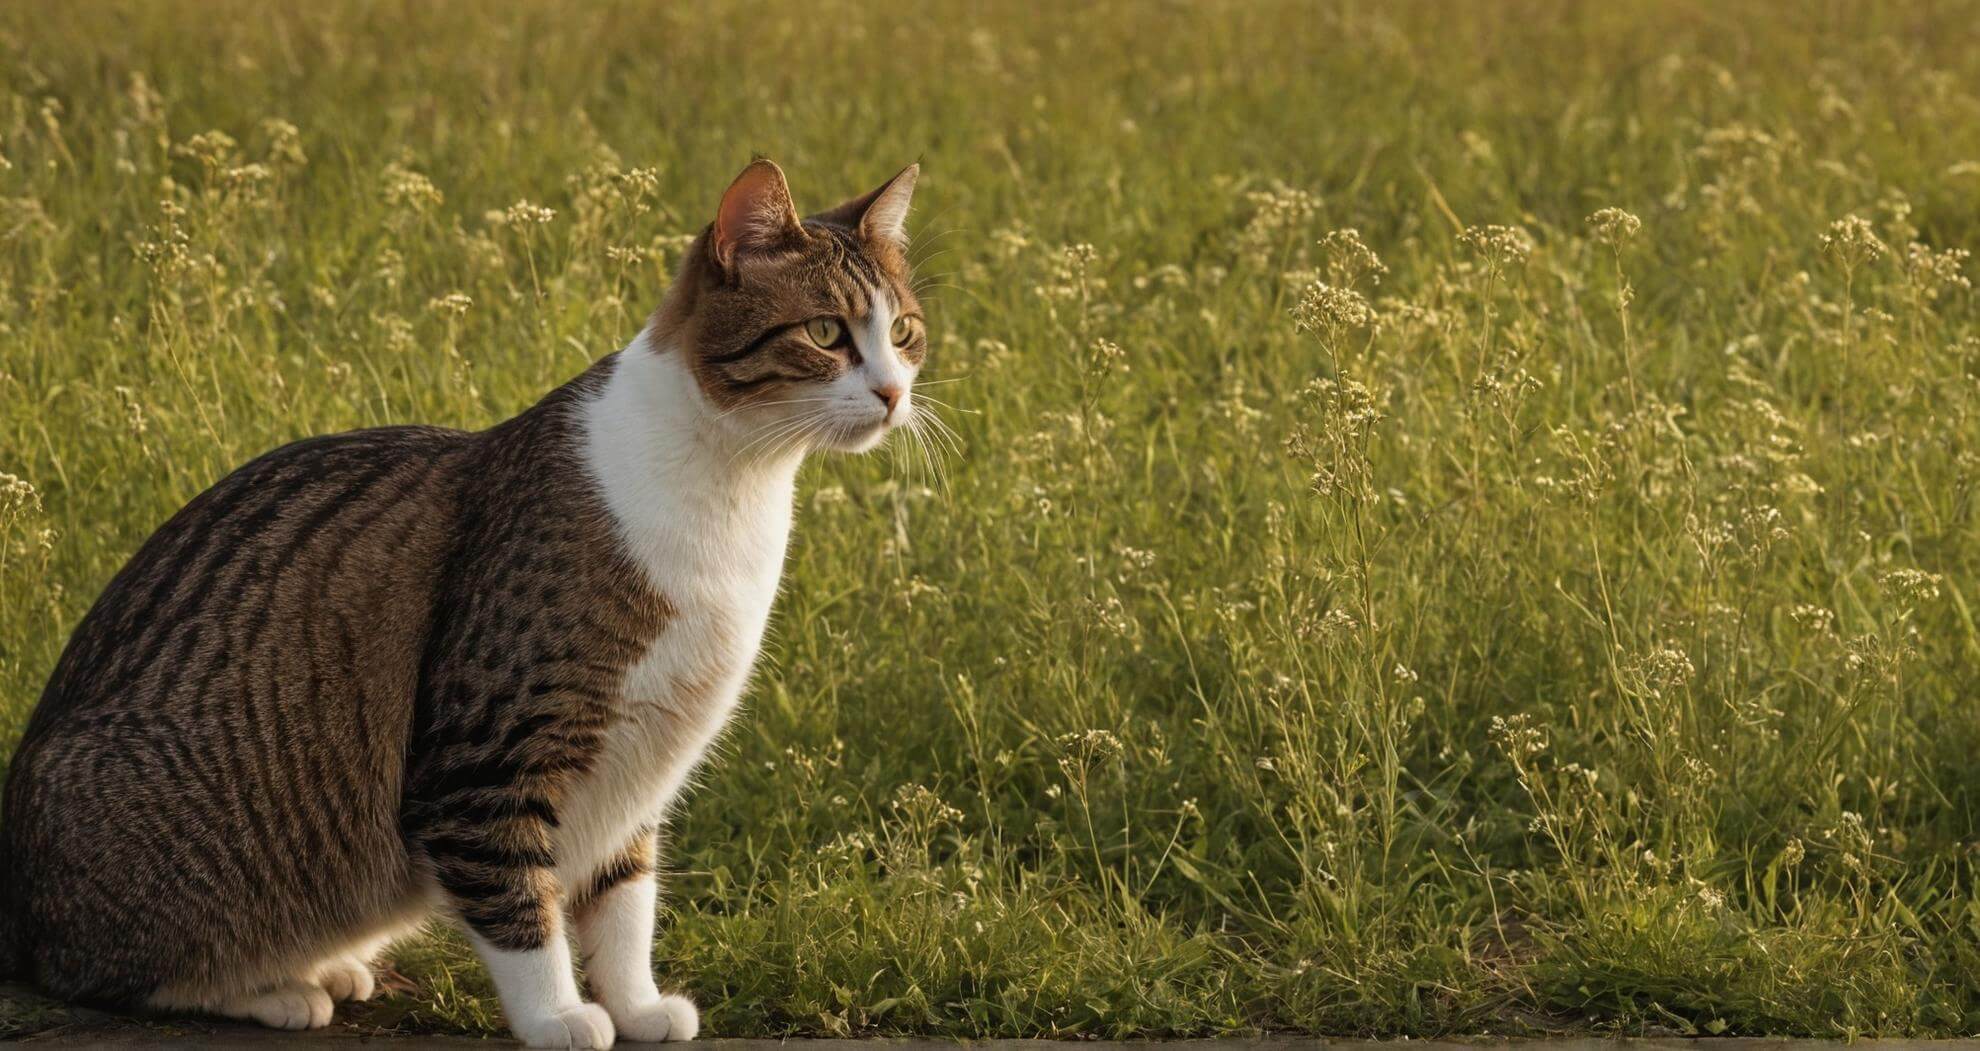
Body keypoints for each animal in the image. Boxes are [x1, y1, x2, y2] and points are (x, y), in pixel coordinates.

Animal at [0, 158, 926, 1051]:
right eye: (825, 332)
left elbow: (624, 903)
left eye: (904, 333)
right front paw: (557, 1018)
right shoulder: (486, 756)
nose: (893, 393)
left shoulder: (639, 770)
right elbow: (522, 906)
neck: (731, 487)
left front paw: (635, 1004)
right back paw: (276, 989)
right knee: (120, 972)